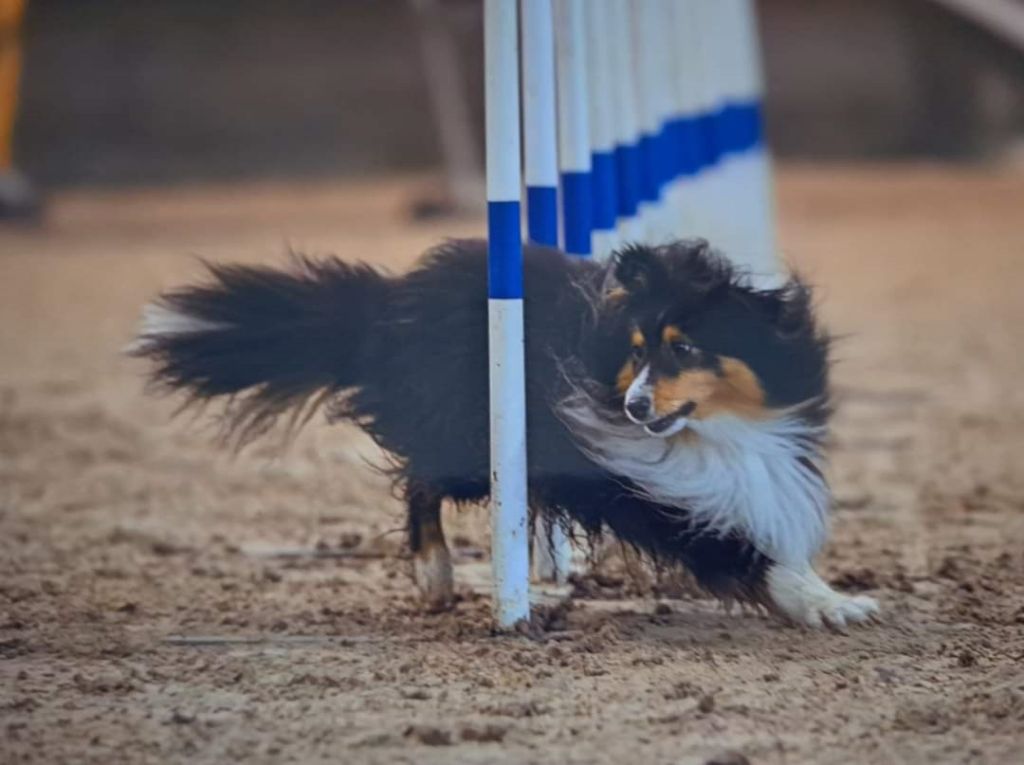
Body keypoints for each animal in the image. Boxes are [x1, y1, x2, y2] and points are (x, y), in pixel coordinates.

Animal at [128, 237, 880, 626]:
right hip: (470, 440)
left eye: (684, 348)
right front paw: (831, 604)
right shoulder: (639, 488)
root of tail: (391, 303)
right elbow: (744, 551)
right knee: (421, 482)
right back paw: (434, 574)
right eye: (637, 351)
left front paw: (830, 593)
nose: (635, 406)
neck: (715, 430)